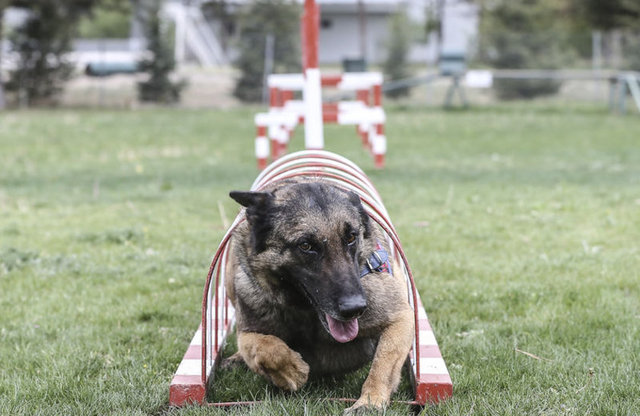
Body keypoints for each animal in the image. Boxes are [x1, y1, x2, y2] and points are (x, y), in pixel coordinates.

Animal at [225, 178, 414, 412]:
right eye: (306, 246)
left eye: (351, 237)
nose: (355, 309)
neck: (307, 314)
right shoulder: (248, 329)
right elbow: (260, 347)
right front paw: (290, 370)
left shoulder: (400, 318)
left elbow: (383, 363)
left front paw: (370, 402)